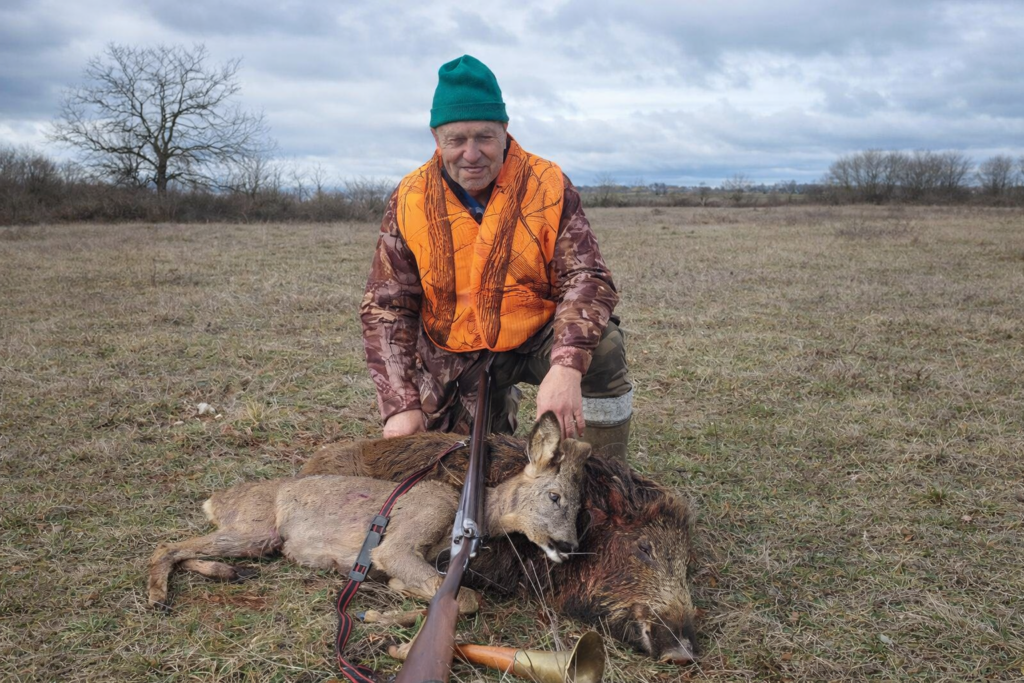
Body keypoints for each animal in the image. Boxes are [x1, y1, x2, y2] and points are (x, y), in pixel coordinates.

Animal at [148, 413, 590, 615]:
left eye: (581, 506)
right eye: (555, 496)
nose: (568, 545)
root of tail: (216, 499)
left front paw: (400, 586)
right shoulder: (407, 532)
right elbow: (464, 598)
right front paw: (404, 587)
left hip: (255, 539)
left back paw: (226, 572)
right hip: (253, 528)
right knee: (165, 545)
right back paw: (158, 597)